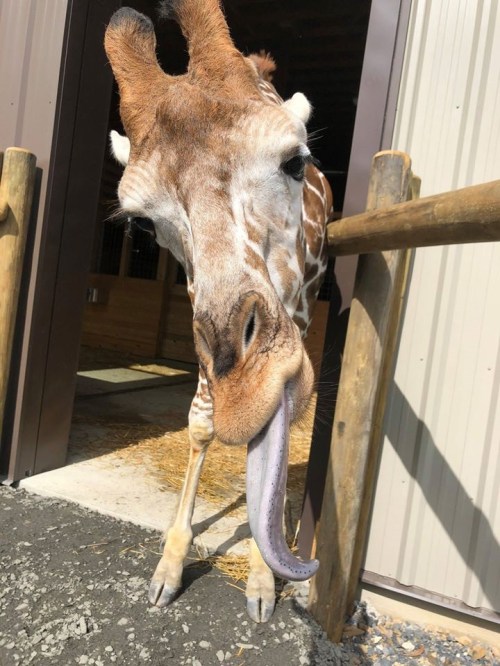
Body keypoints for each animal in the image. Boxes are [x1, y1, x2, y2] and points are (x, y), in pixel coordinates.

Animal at [104, 0, 333, 623]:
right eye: (142, 222)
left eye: (294, 161)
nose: (245, 393)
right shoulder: (199, 316)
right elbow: (202, 423)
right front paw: (169, 568)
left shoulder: (294, 310)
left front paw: (260, 580)